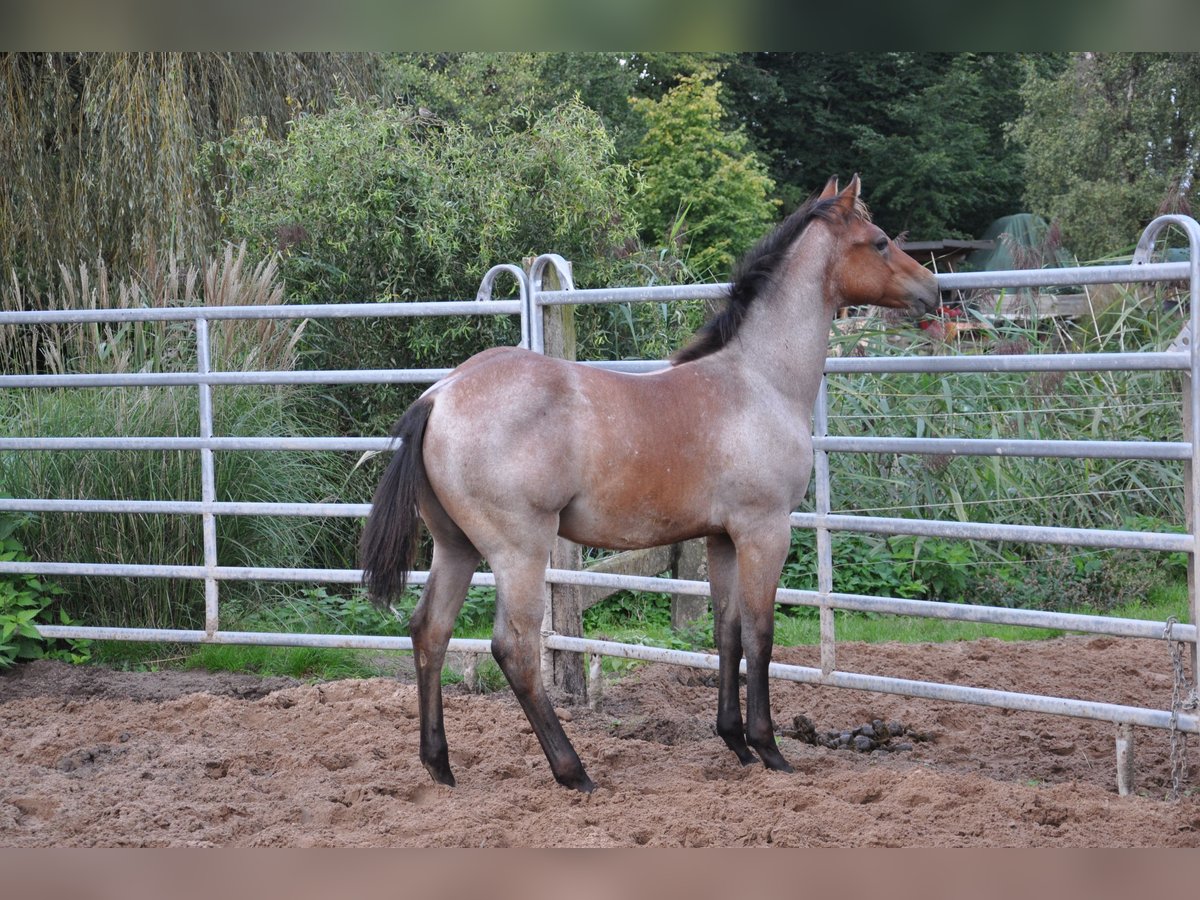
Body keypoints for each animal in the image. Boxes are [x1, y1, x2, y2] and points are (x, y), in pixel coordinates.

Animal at [360, 175, 938, 792]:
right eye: (879, 242)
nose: (933, 290)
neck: (758, 380)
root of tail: (439, 395)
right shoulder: (764, 530)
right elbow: (760, 636)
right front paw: (769, 749)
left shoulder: (721, 537)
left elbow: (726, 632)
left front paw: (734, 742)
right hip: (519, 551)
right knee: (514, 648)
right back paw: (574, 772)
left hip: (456, 547)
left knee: (430, 631)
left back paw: (440, 767)